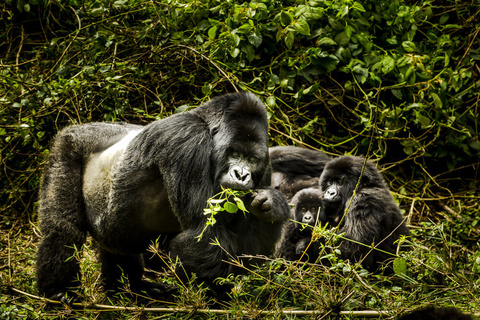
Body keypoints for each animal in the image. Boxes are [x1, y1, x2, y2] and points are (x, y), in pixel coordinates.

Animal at [36, 92, 288, 300]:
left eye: (252, 159)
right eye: (234, 153)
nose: (241, 175)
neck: (206, 124)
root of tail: (79, 128)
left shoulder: (265, 168)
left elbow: (250, 248)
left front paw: (271, 206)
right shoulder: (187, 139)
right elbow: (201, 233)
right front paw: (215, 301)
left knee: (117, 246)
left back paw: (129, 290)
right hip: (68, 146)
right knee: (63, 228)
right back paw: (57, 290)